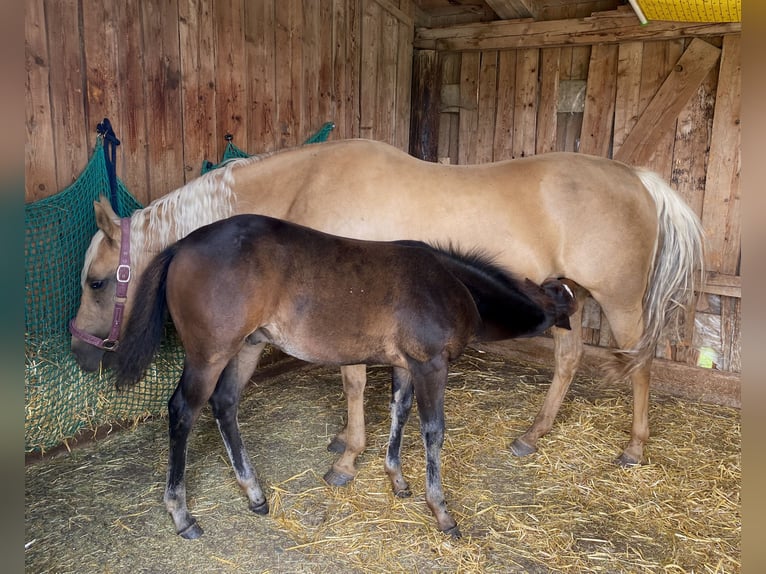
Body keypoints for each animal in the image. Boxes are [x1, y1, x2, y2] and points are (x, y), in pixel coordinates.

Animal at [72, 138, 708, 476]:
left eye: (98, 282)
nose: (81, 352)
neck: (307, 184)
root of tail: (638, 179)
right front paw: (345, 443)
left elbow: (353, 382)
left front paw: (348, 457)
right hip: (567, 297)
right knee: (571, 358)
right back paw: (535, 433)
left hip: (620, 303)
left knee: (641, 365)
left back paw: (634, 446)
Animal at [111, 213, 572, 540]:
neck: (453, 285)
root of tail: (181, 244)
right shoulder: (430, 365)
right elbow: (433, 430)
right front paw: (440, 510)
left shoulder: (405, 364)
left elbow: (399, 412)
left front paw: (397, 480)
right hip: (209, 356)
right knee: (182, 411)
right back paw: (181, 514)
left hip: (247, 347)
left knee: (225, 405)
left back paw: (254, 493)